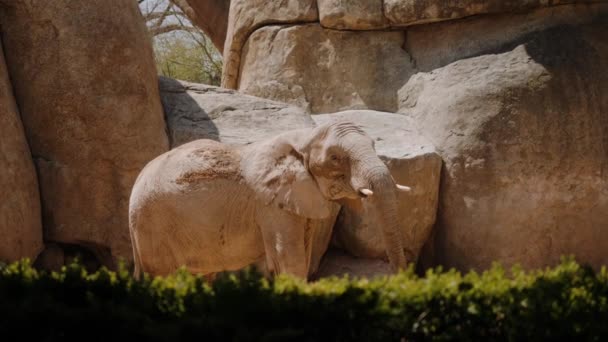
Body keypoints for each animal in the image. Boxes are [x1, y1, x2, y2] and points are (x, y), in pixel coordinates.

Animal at [130, 120, 410, 278]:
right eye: (335, 158)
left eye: (373, 145)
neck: (305, 136)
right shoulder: (272, 206)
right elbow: (291, 261)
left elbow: (302, 258)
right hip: (153, 225)